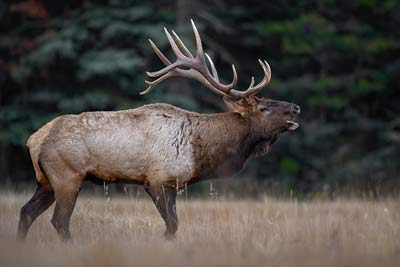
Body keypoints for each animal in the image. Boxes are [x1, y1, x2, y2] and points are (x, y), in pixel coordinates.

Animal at [18, 19, 300, 241]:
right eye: (264, 107)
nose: (296, 107)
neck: (202, 151)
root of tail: (33, 140)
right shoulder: (158, 179)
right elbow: (171, 225)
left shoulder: (174, 185)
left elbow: (173, 225)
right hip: (67, 176)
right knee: (59, 221)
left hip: (46, 181)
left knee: (26, 212)